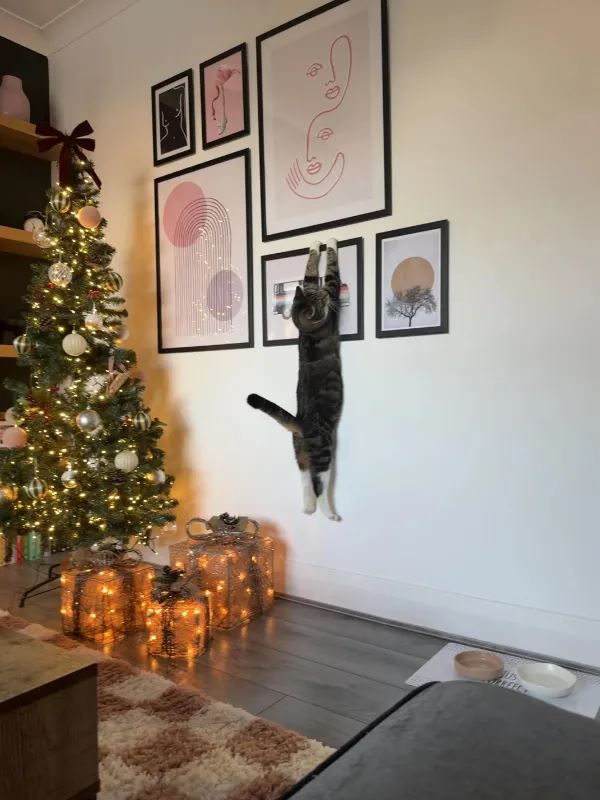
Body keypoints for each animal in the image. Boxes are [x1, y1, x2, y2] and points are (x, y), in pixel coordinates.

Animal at [247, 239, 343, 521]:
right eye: (322, 297)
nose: (324, 296)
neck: (305, 329)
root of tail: (299, 422)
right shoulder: (332, 292)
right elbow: (331, 272)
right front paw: (330, 242)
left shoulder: (309, 283)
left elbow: (309, 273)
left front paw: (314, 244)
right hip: (324, 449)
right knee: (319, 483)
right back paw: (328, 512)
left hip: (298, 450)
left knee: (303, 479)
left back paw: (307, 508)